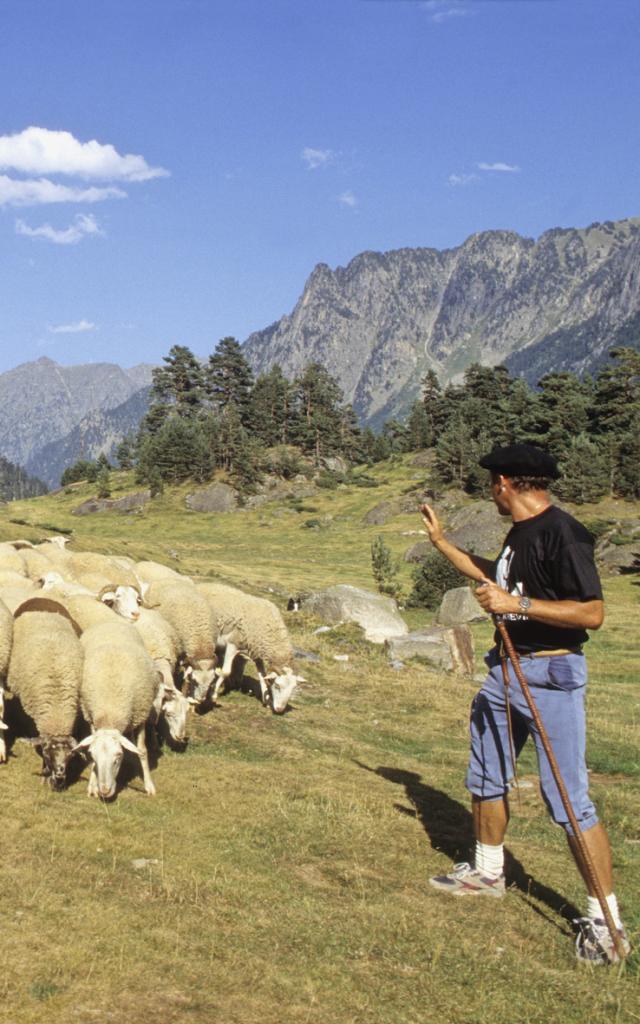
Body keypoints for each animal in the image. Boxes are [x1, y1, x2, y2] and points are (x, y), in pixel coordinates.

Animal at [74, 614, 158, 798]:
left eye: (118, 756)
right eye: (93, 756)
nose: (105, 792)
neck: (110, 712)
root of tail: (109, 620)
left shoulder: (141, 715)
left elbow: (142, 750)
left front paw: (149, 785)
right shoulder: (92, 717)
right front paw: (92, 785)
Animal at [195, 581, 303, 716]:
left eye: (293, 689)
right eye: (277, 686)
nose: (279, 710)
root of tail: (201, 585)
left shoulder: (256, 651)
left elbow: (262, 675)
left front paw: (267, 701)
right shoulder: (233, 644)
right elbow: (226, 671)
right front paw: (213, 695)